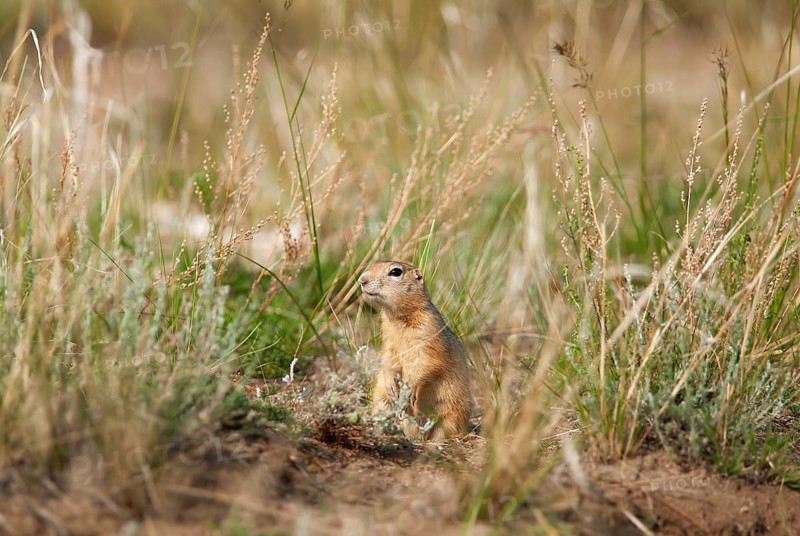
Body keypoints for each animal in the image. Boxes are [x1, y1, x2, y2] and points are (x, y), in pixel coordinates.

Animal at [358, 260, 471, 440]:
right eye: (372, 264)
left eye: (395, 272)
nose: (362, 280)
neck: (399, 318)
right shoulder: (388, 339)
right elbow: (388, 360)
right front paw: (392, 385)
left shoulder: (428, 332)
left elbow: (427, 361)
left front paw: (408, 389)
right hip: (382, 402)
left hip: (452, 413)